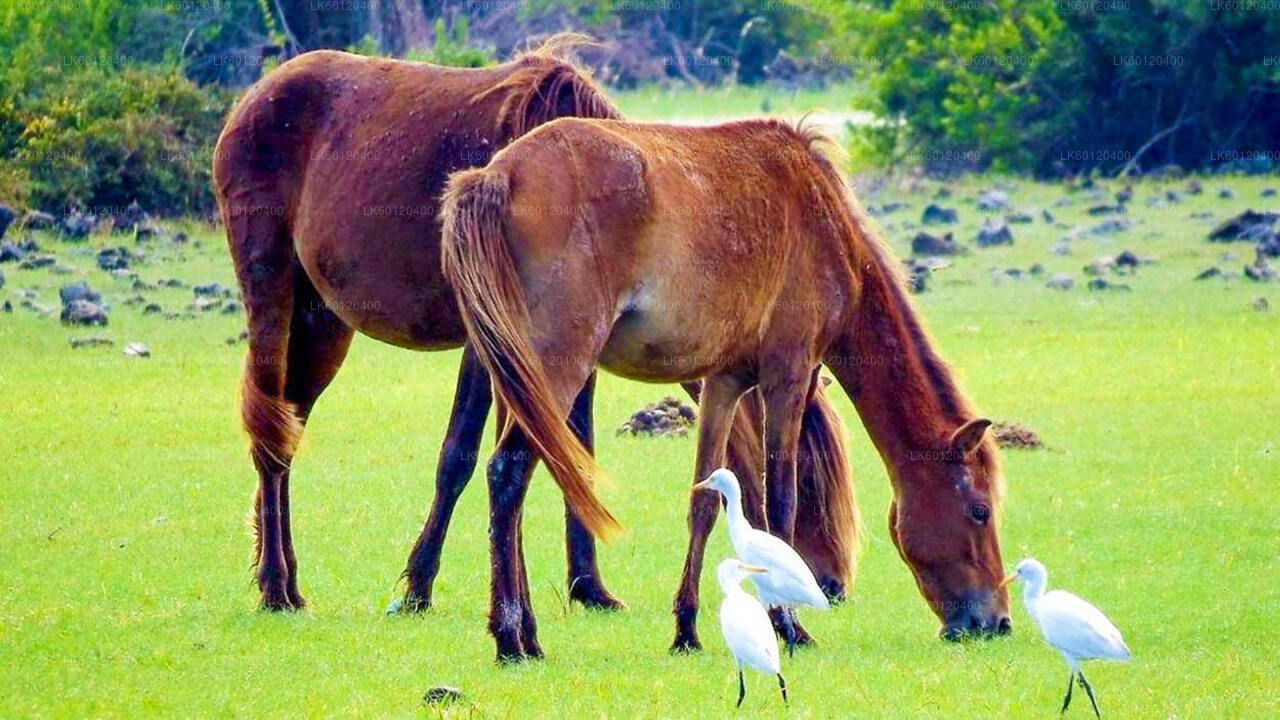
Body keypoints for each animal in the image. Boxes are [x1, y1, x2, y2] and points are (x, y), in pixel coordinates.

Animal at [212, 37, 860, 622]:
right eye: (811, 481)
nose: (830, 585)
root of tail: (256, 97)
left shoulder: (575, 343)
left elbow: (570, 447)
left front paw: (588, 587)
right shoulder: (494, 346)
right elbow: (462, 456)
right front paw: (419, 587)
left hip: (323, 323)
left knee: (287, 424)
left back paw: (282, 575)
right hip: (272, 293)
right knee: (270, 426)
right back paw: (276, 588)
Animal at [445, 116, 1013, 655]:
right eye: (979, 510)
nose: (999, 622)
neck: (822, 220)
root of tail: (498, 175)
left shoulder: (724, 382)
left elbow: (705, 503)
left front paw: (687, 630)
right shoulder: (789, 375)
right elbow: (779, 502)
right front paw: (790, 626)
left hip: (518, 382)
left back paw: (528, 632)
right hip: (558, 367)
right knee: (508, 473)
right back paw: (511, 639)